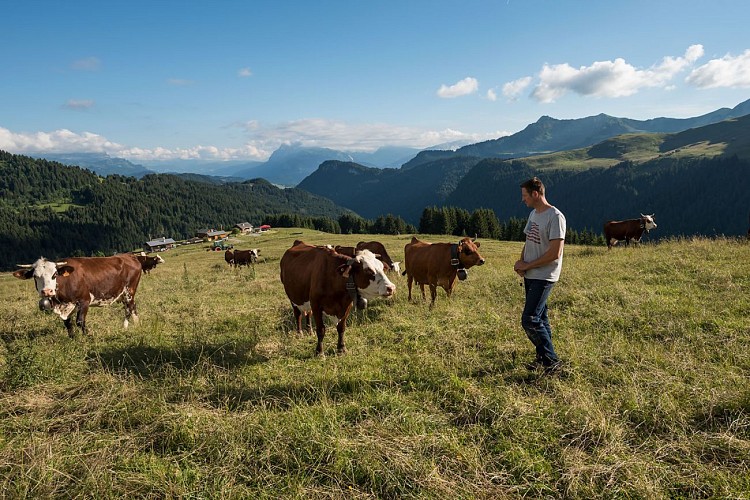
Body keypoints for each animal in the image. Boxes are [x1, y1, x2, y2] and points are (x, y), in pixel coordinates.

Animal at [12, 254, 142, 336]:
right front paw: (72, 338)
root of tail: (129, 256)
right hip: (123, 294)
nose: (47, 291)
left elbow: (80, 321)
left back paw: (130, 326)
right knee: (131, 308)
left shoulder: (84, 301)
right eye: (35, 276)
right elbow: (67, 323)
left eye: (55, 274)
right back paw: (132, 326)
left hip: (129, 291)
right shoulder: (67, 306)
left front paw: (87, 336)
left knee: (130, 308)